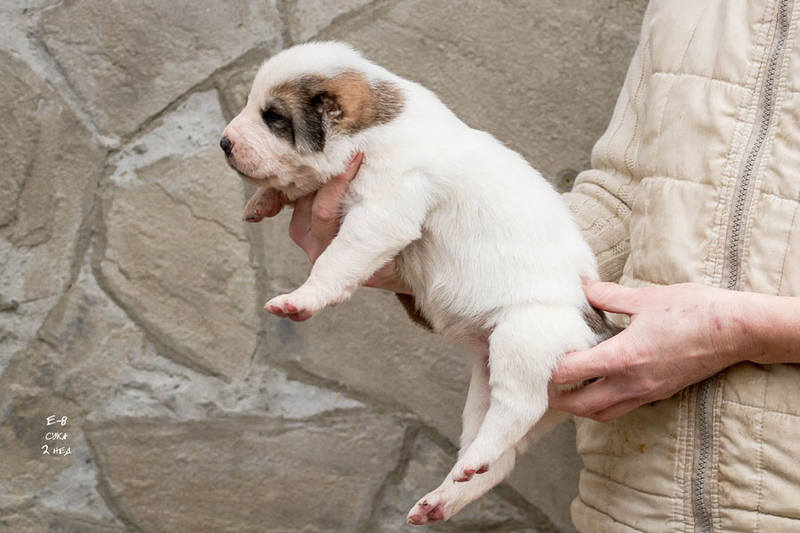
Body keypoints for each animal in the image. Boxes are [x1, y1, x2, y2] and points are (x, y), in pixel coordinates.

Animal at [220, 41, 617, 525]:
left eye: (274, 117)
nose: (224, 142)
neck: (370, 130)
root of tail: (598, 330)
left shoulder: (382, 214)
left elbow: (335, 261)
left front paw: (301, 299)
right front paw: (262, 201)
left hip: (523, 339)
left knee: (517, 408)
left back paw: (470, 462)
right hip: (487, 380)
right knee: (498, 456)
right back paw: (443, 497)